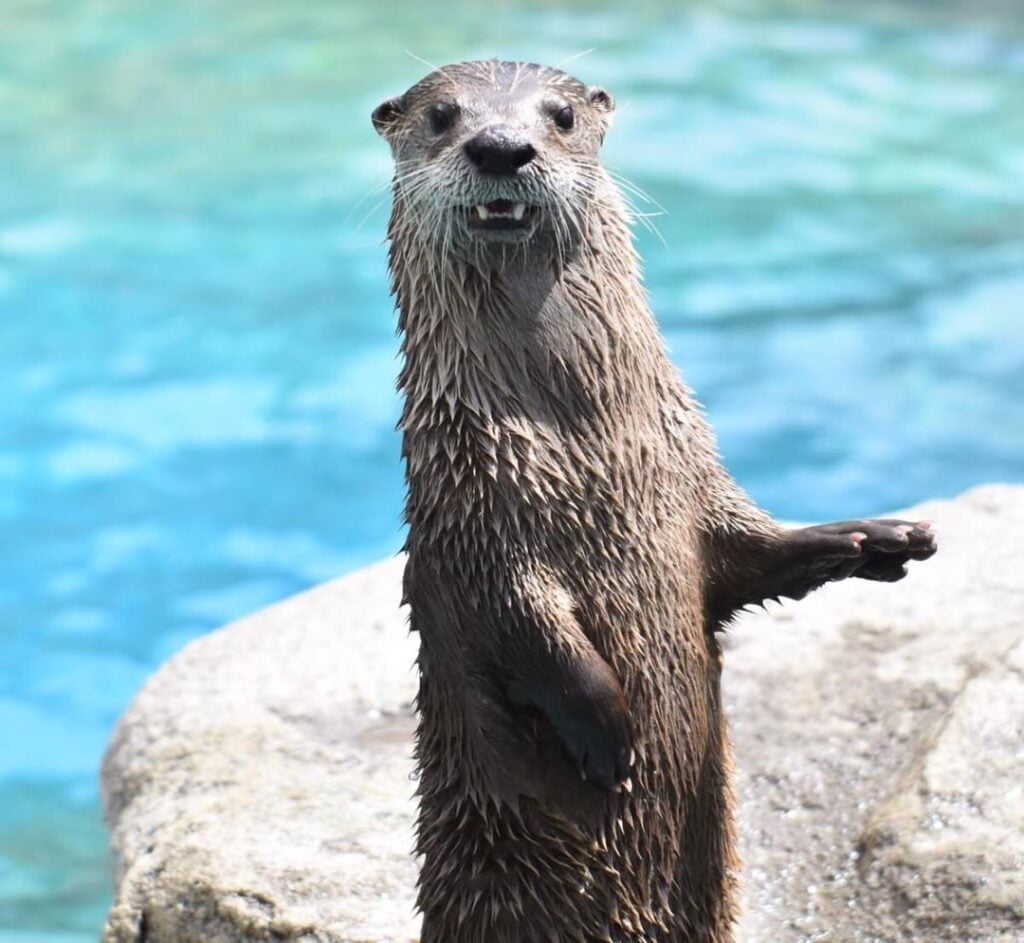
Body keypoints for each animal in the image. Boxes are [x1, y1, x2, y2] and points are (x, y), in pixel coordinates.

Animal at [371, 60, 936, 943]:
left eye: (562, 115)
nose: (502, 146)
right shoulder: (475, 513)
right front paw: (611, 731)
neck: (585, 443)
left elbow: (753, 556)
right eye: (441, 116)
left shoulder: (693, 474)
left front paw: (870, 537)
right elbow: (522, 622)